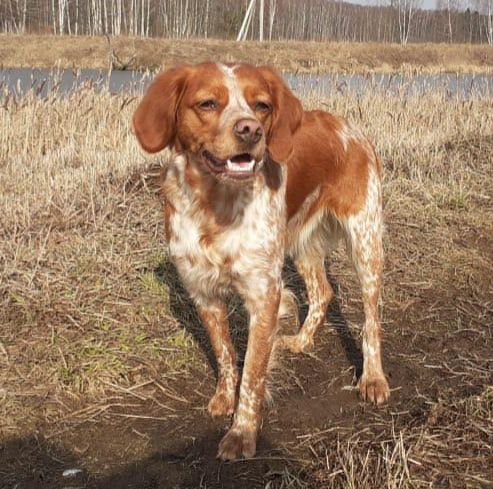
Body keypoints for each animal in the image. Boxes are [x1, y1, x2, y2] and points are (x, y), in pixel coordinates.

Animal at [133, 63, 390, 460]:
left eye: (262, 105)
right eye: (207, 103)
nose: (250, 129)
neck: (217, 204)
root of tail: (345, 124)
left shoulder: (264, 293)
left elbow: (253, 373)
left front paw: (242, 433)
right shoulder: (203, 292)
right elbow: (224, 353)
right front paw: (224, 398)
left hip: (365, 240)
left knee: (370, 318)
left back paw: (373, 378)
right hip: (301, 244)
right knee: (323, 292)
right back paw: (301, 341)